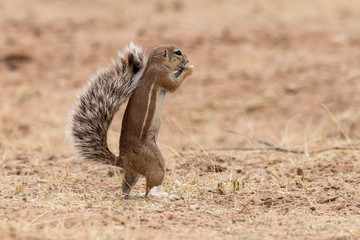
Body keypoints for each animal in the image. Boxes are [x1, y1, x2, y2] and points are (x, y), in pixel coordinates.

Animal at [70, 42, 194, 199]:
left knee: (126, 186)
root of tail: (122, 160)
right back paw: (163, 196)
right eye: (178, 52)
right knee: (149, 190)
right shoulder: (161, 75)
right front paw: (189, 69)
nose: (187, 60)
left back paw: (130, 196)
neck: (156, 63)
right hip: (155, 162)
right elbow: (173, 85)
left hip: (133, 173)